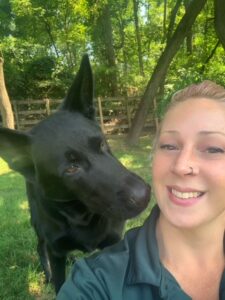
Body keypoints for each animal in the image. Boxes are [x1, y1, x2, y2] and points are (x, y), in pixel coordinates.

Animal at [0, 55, 151, 294]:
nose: (144, 195)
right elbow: (60, 281)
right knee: (40, 246)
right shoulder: (56, 250)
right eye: (71, 168)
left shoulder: (114, 243)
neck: (82, 216)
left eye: (101, 143)